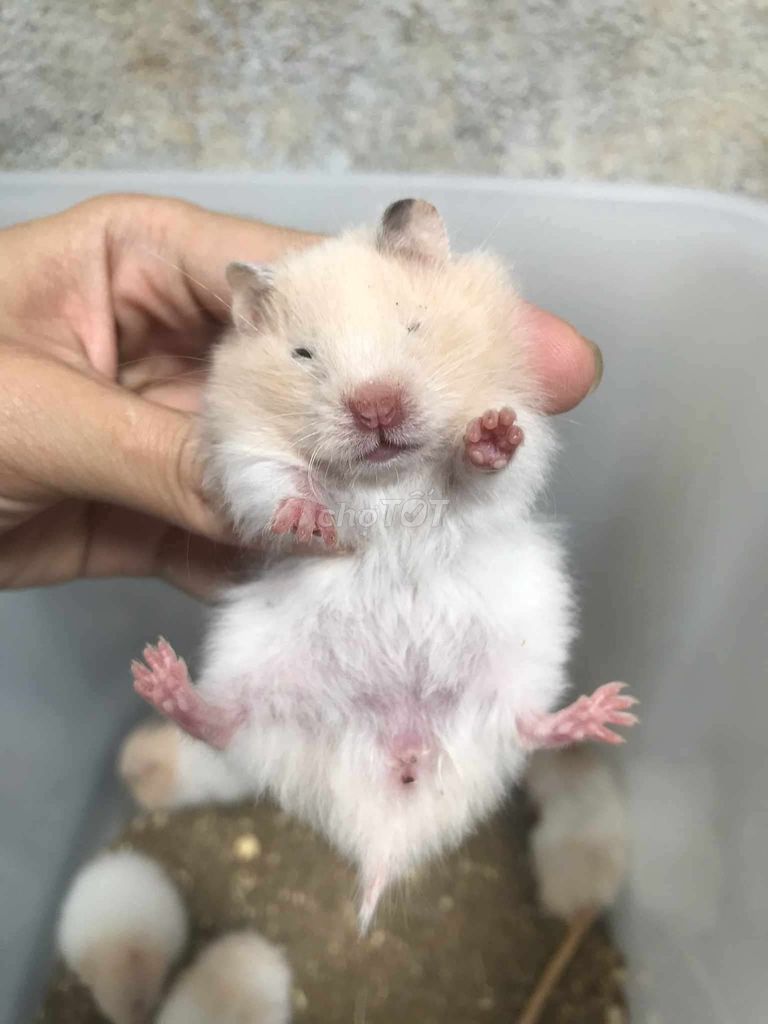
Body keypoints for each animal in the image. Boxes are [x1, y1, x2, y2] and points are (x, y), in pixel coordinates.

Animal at [131, 199, 636, 929]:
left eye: (414, 326)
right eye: (303, 353)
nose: (375, 407)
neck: (385, 478)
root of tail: (390, 788)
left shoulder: (523, 436)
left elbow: (490, 468)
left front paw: (486, 436)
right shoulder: (242, 453)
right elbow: (275, 480)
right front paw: (308, 519)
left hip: (525, 657)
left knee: (528, 725)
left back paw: (605, 712)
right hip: (252, 658)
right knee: (223, 725)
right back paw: (159, 677)